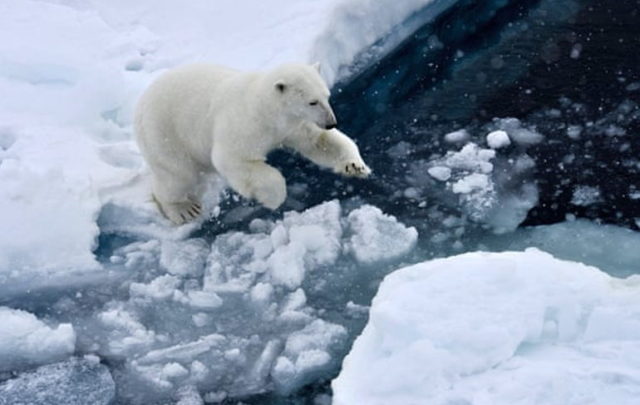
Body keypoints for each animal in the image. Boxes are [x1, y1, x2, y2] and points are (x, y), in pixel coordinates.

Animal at [134, 63, 371, 224]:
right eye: (312, 102)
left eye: (327, 96)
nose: (331, 122)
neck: (265, 110)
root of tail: (140, 104)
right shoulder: (245, 125)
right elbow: (232, 159)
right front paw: (273, 199)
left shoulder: (292, 127)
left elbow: (318, 142)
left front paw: (354, 166)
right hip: (164, 133)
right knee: (177, 174)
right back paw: (183, 209)